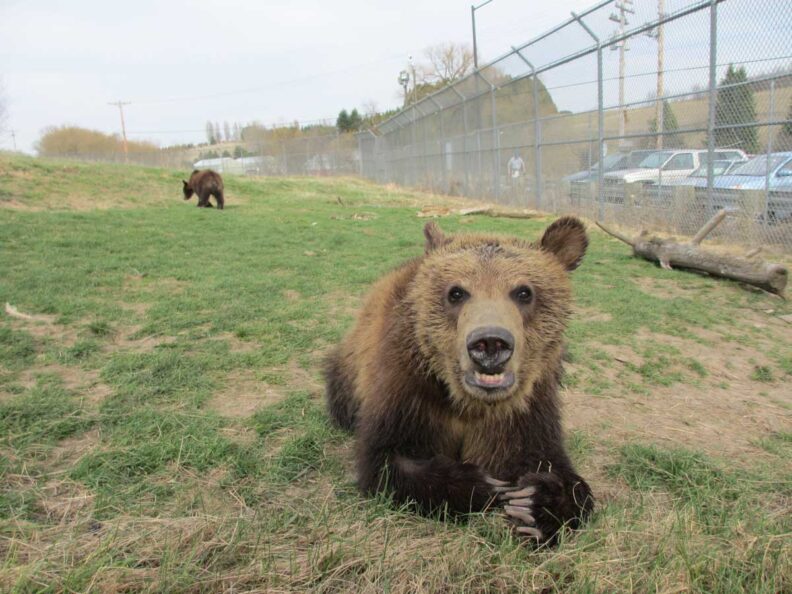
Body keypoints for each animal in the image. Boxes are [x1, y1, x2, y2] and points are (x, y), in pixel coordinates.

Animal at [324, 217, 593, 545]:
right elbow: (386, 460)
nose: (489, 343)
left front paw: (534, 504)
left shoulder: (527, 406)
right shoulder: (407, 388)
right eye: (456, 292)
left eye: (523, 292)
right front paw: (484, 484)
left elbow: (552, 464)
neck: (467, 401)